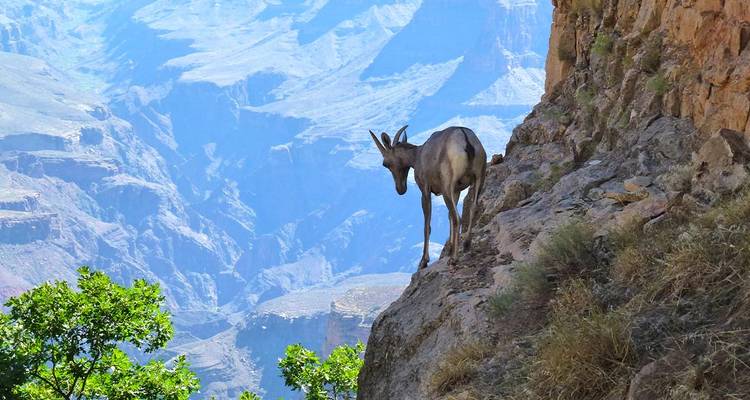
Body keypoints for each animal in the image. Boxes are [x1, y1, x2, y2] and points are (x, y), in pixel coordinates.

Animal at [370, 125, 487, 269]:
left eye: (385, 164)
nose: (400, 189)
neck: (418, 155)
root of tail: (465, 138)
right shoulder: (456, 191)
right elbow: (448, 216)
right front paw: (449, 248)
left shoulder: (425, 190)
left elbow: (427, 225)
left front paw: (423, 261)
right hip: (479, 179)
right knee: (472, 209)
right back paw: (466, 245)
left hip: (447, 188)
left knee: (457, 218)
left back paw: (454, 259)